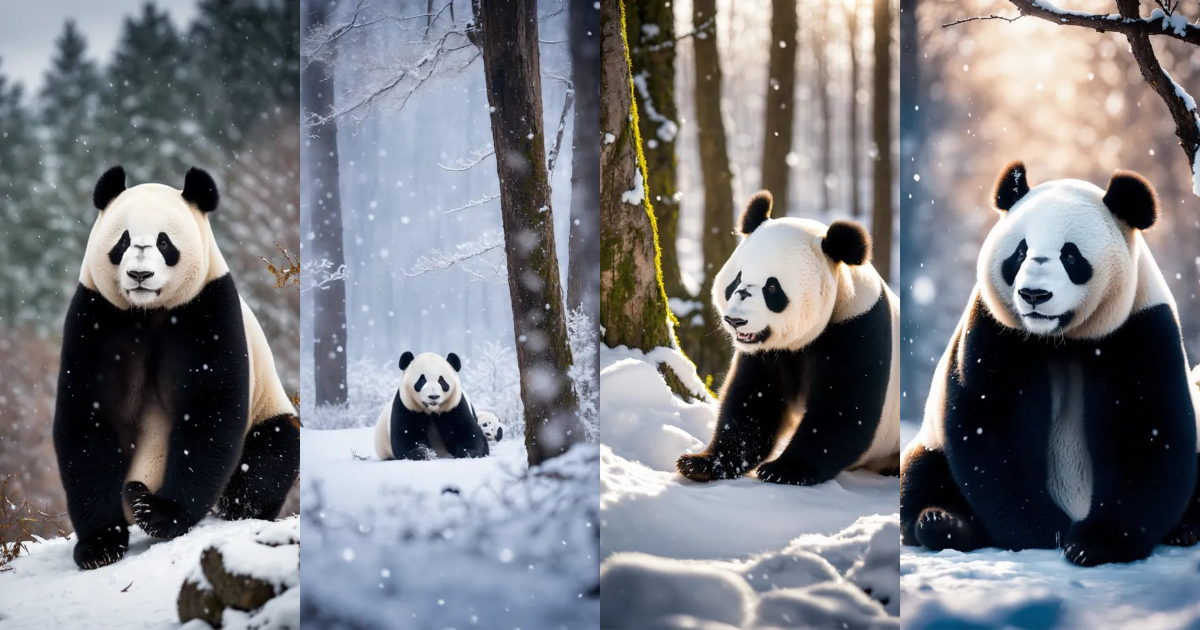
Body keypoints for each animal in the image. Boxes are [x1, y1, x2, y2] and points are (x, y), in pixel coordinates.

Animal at [54, 166, 299, 570]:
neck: (147, 311)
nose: (139, 275)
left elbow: (211, 406)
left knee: (273, 451)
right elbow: (87, 414)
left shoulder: (207, 307)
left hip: (267, 406)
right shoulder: (96, 315)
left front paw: (159, 514)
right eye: (123, 241)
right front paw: (99, 545)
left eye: (164, 243)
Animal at [676, 190, 901, 486]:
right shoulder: (766, 353)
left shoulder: (858, 327)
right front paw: (701, 463)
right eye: (736, 281)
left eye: (772, 287)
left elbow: (842, 411)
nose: (735, 321)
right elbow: (754, 403)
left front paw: (784, 469)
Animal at [901, 161, 1200, 566]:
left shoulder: (1139, 326)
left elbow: (1146, 430)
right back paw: (942, 522)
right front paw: (1046, 530)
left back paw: (1185, 531)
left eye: (1070, 256)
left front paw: (1092, 543)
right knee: (923, 474)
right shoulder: (996, 328)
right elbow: (992, 424)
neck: (1061, 338)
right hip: (932, 445)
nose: (1034, 295)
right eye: (1020, 252)